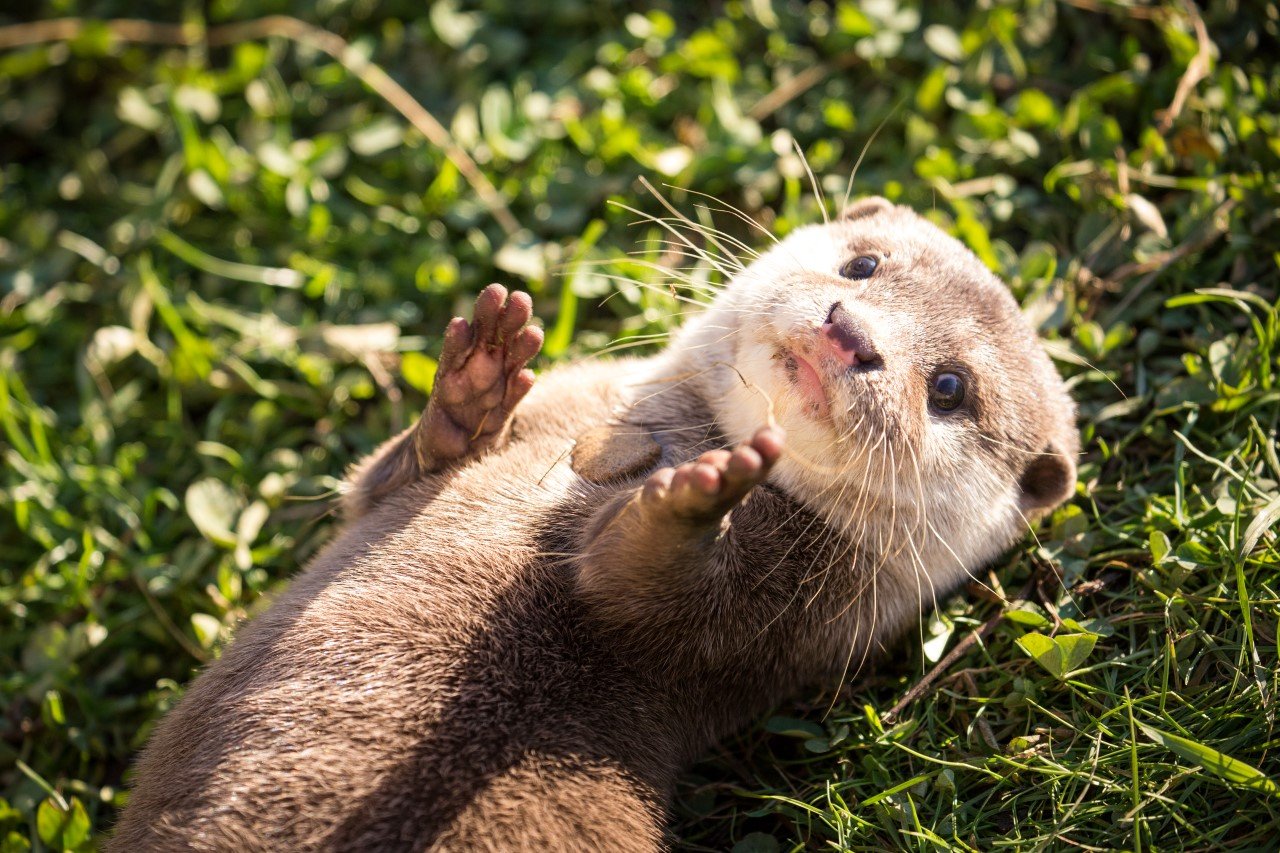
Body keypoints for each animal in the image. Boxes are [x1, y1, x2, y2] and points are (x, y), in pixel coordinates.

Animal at [110, 197, 1077, 851]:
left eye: (950, 387)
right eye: (864, 266)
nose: (849, 332)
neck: (643, 430)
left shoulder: (789, 617)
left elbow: (640, 596)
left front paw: (700, 495)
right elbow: (375, 484)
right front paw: (476, 382)